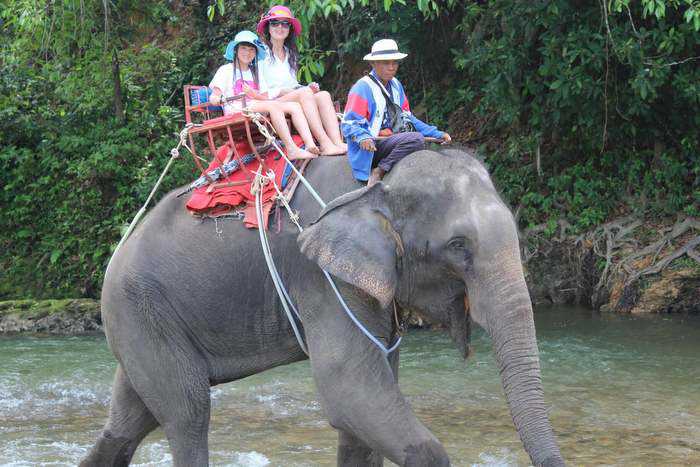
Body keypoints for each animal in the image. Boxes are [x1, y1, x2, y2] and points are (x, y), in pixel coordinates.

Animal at [80, 148, 564, 466]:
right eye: (459, 246)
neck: (380, 180)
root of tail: (119, 249)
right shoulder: (323, 279)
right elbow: (346, 386)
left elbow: (364, 406)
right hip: (139, 308)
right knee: (187, 412)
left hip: (144, 321)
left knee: (132, 419)